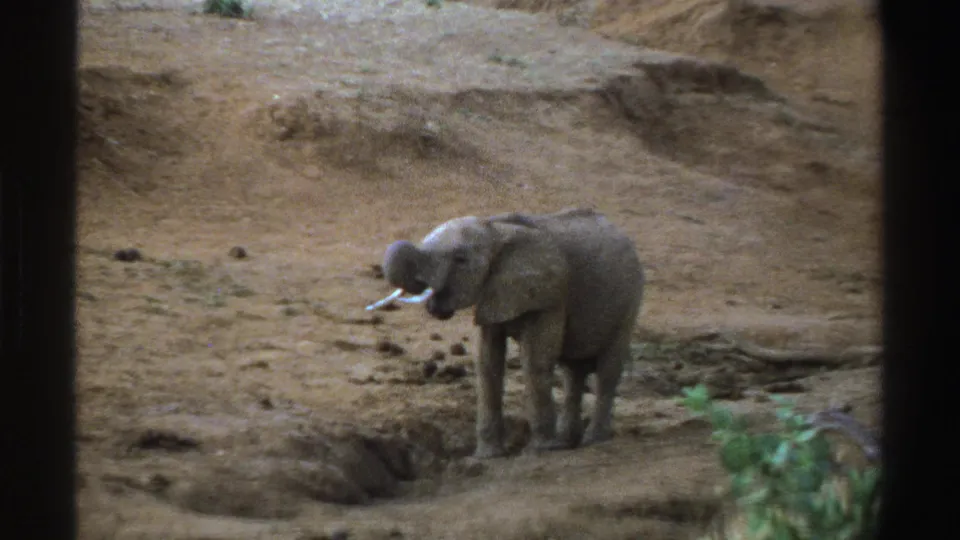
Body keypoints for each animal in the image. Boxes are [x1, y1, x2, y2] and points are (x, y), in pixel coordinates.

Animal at [372, 208, 645, 459]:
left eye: (460, 259)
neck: (495, 229)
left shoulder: (550, 295)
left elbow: (534, 361)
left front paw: (541, 450)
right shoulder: (493, 291)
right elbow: (487, 363)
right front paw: (488, 456)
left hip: (630, 300)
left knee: (607, 370)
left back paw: (593, 440)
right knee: (572, 372)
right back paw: (568, 441)